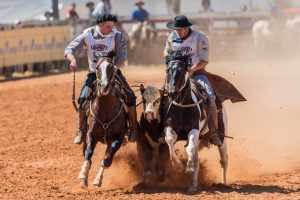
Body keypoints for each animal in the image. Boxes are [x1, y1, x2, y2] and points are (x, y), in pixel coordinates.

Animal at [77, 53, 127, 188]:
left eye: (111, 67)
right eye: (98, 67)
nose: (104, 87)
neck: (105, 109)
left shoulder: (118, 138)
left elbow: (107, 160)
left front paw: (98, 179)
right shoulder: (91, 134)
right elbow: (88, 154)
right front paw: (82, 174)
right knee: (85, 153)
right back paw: (84, 182)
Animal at [163, 54, 229, 192]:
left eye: (182, 70)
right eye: (168, 70)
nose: (172, 92)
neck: (182, 106)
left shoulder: (194, 130)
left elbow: (190, 147)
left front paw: (188, 168)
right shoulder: (170, 128)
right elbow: (170, 141)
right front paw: (177, 166)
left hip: (222, 137)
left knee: (224, 159)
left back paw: (224, 182)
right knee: (198, 161)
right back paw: (193, 185)